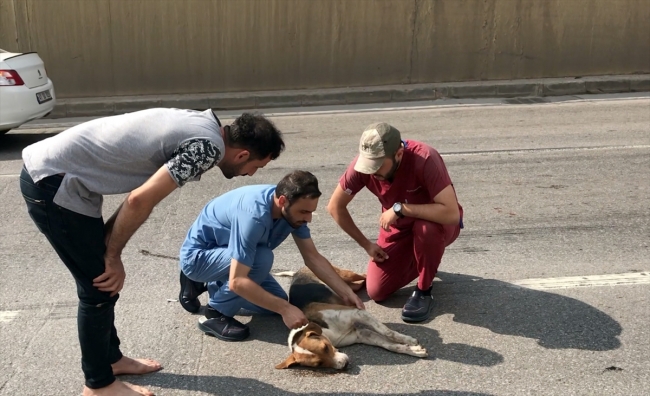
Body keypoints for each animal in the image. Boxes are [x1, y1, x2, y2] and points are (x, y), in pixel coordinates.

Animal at [272, 266, 426, 368]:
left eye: (325, 348)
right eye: (319, 364)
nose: (344, 365)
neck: (327, 331)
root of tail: (297, 271)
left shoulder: (358, 313)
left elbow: (389, 333)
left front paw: (409, 340)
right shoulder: (361, 334)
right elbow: (390, 345)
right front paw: (414, 350)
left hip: (344, 275)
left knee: (364, 276)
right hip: (348, 285)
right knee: (359, 284)